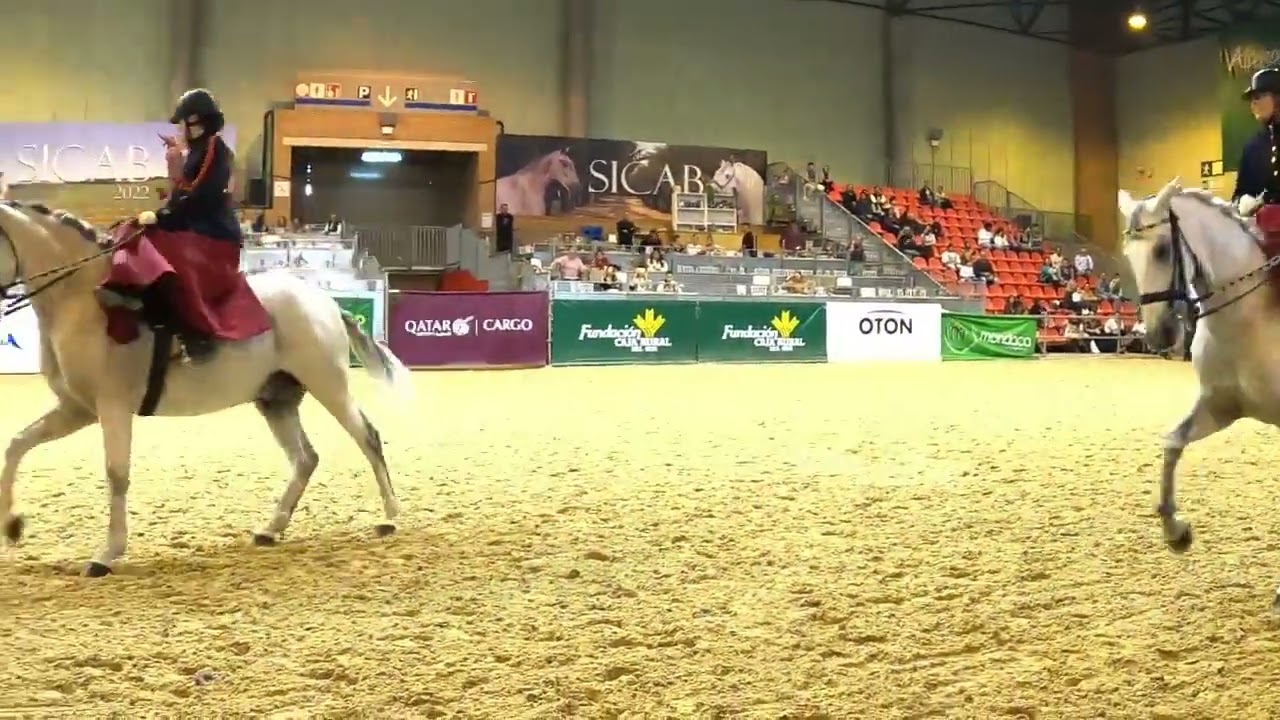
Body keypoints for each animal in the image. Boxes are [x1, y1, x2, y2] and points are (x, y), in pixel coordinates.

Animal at [0, 201, 410, 577]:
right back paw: (270, 529)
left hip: (329, 385)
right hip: (276, 399)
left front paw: (106, 554)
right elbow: (16, 445)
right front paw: (13, 525)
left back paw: (390, 517)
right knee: (305, 458)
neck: (83, 297)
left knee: (367, 437)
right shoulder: (77, 409)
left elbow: (117, 474)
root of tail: (323, 301)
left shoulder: (111, 407)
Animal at [1118, 177, 1280, 606]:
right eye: (1128, 255)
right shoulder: (1219, 407)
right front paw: (1176, 532)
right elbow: (1173, 443)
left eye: (1162, 249)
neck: (1248, 321)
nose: (1159, 336)